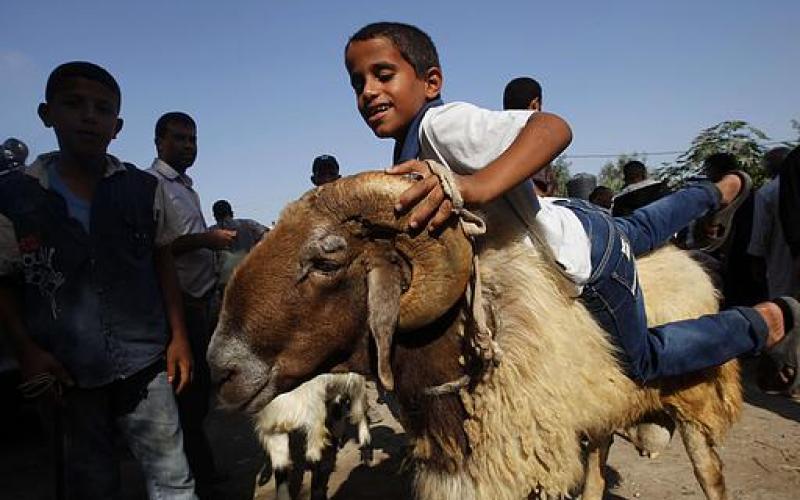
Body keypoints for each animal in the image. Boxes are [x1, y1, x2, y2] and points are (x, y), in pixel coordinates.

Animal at [208, 173, 744, 500]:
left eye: (325, 258)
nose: (220, 369)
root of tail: (685, 258)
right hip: (602, 408)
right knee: (596, 467)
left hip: (690, 395)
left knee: (710, 472)